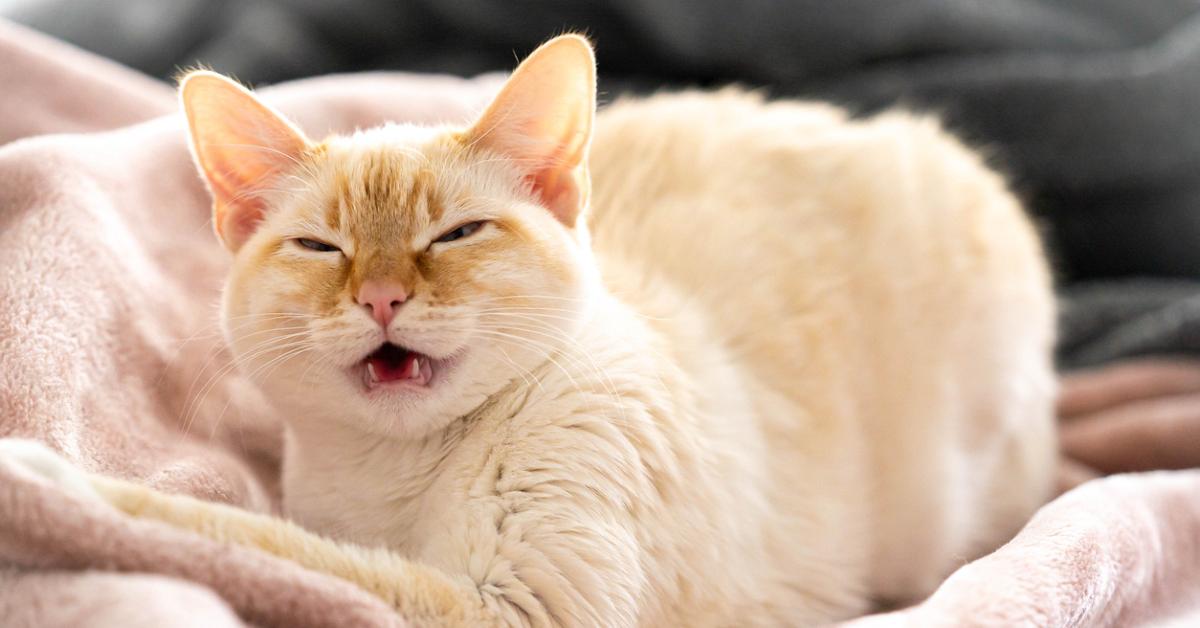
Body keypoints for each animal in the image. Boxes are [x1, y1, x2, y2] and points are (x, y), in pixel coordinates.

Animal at [0, 35, 1051, 628]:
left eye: (455, 235)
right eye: (322, 247)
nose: (382, 297)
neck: (395, 476)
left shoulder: (515, 611)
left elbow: (241, 540)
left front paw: (49, 485)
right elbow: (291, 543)